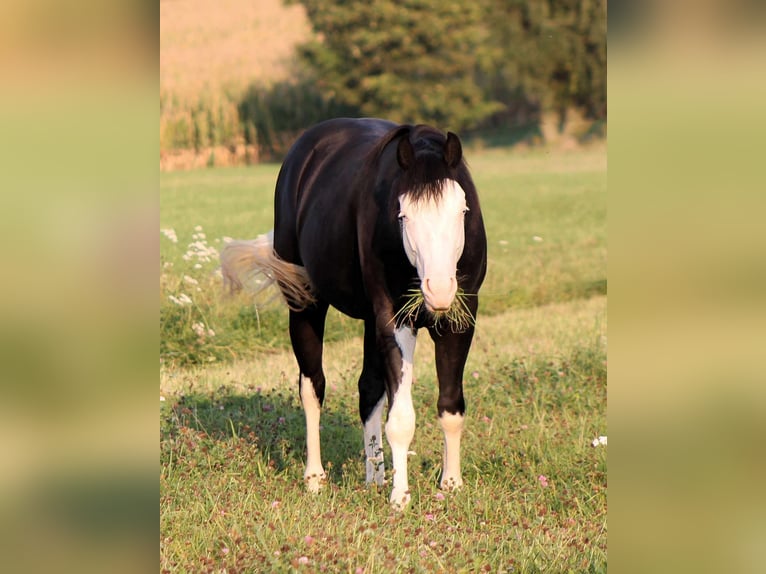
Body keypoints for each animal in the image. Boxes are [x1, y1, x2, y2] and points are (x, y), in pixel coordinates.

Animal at [222, 117, 486, 508]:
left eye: (462, 212)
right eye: (403, 215)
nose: (438, 290)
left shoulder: (458, 321)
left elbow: (451, 407)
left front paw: (451, 484)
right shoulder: (394, 322)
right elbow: (401, 419)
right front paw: (400, 498)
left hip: (370, 322)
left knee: (368, 390)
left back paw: (374, 476)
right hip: (306, 304)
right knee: (312, 388)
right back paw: (315, 478)